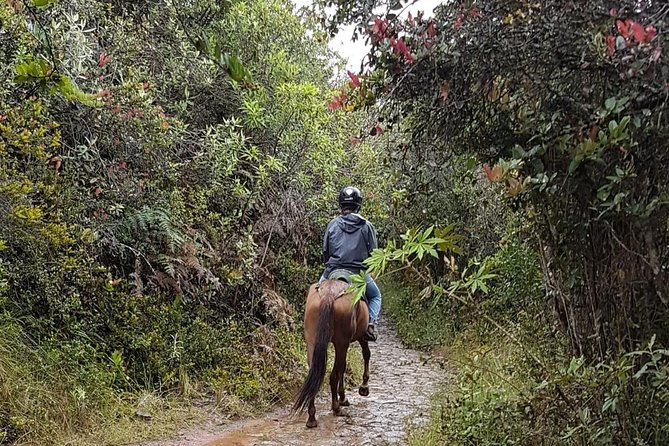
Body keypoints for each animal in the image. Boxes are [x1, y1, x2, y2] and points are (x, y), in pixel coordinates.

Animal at [291, 278, 371, 428]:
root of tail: (328, 294)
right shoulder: (361, 336)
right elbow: (365, 355)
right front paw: (362, 388)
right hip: (342, 342)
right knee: (334, 374)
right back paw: (336, 409)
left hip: (312, 339)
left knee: (314, 372)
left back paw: (312, 417)